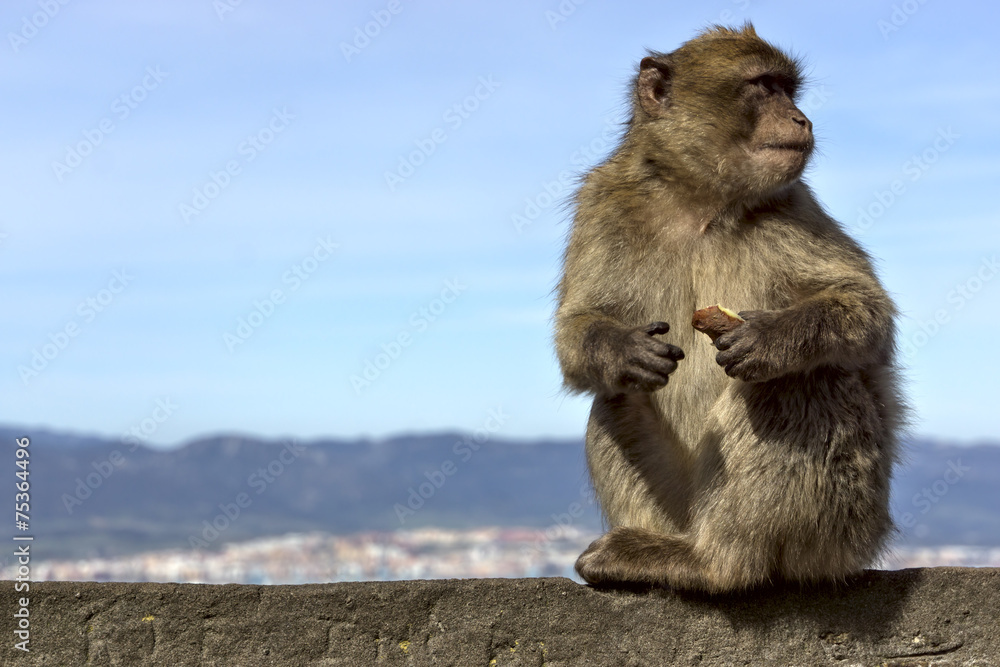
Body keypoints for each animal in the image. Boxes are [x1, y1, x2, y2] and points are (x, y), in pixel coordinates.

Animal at [554, 24, 904, 593]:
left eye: (788, 89)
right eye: (763, 87)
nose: (801, 119)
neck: (698, 201)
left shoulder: (792, 205)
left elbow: (865, 310)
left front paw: (772, 338)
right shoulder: (602, 202)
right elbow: (577, 330)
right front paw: (623, 348)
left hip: (843, 526)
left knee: (798, 381)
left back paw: (715, 563)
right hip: (682, 499)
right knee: (616, 395)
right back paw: (650, 551)